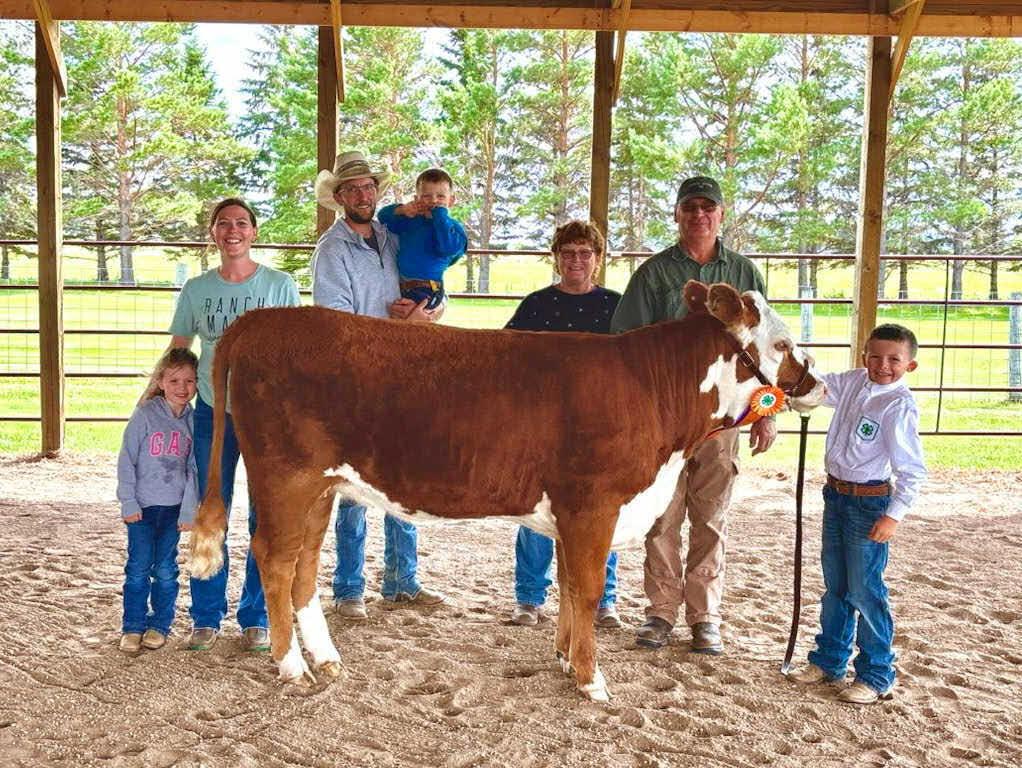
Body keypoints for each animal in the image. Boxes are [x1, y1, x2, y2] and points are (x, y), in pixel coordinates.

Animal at [190, 280, 825, 701]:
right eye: (782, 342)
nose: (818, 382)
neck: (651, 389)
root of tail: (260, 321)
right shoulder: (593, 504)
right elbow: (586, 591)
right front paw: (592, 681)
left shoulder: (572, 513)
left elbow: (568, 588)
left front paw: (567, 662)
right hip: (286, 477)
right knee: (274, 560)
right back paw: (292, 668)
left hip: (322, 488)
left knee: (301, 567)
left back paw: (327, 661)